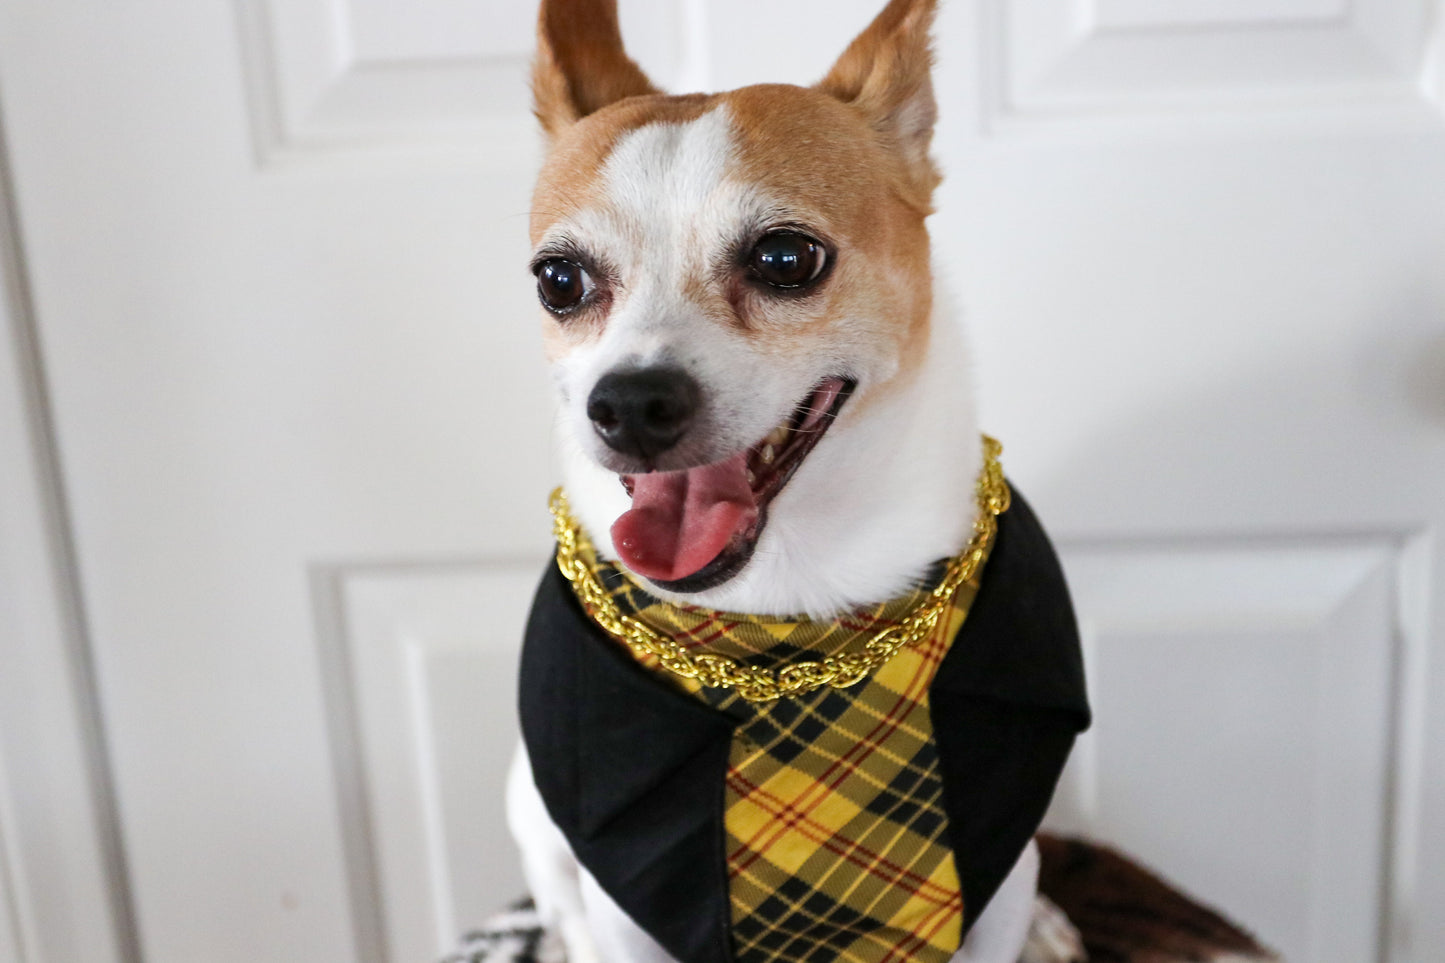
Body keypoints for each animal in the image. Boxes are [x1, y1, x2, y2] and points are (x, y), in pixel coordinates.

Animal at [508, 1, 1092, 960]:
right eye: (559, 280)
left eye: (785, 258)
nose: (627, 403)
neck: (777, 632)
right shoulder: (622, 908)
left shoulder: (992, 886)